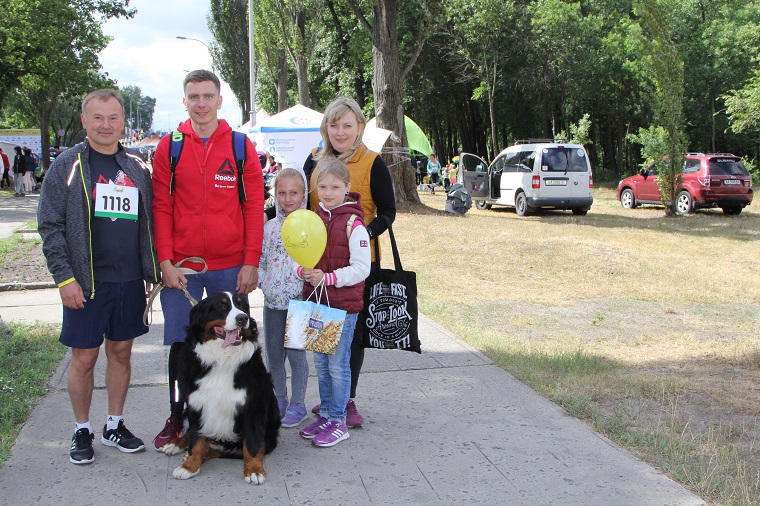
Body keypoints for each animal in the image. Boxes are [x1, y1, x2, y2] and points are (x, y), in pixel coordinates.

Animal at [160, 290, 280, 484]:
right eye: (222, 307)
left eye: (242, 306)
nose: (243, 318)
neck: (222, 359)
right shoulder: (197, 404)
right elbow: (196, 439)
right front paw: (189, 465)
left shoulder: (253, 407)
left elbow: (252, 445)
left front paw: (254, 470)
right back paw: (175, 445)